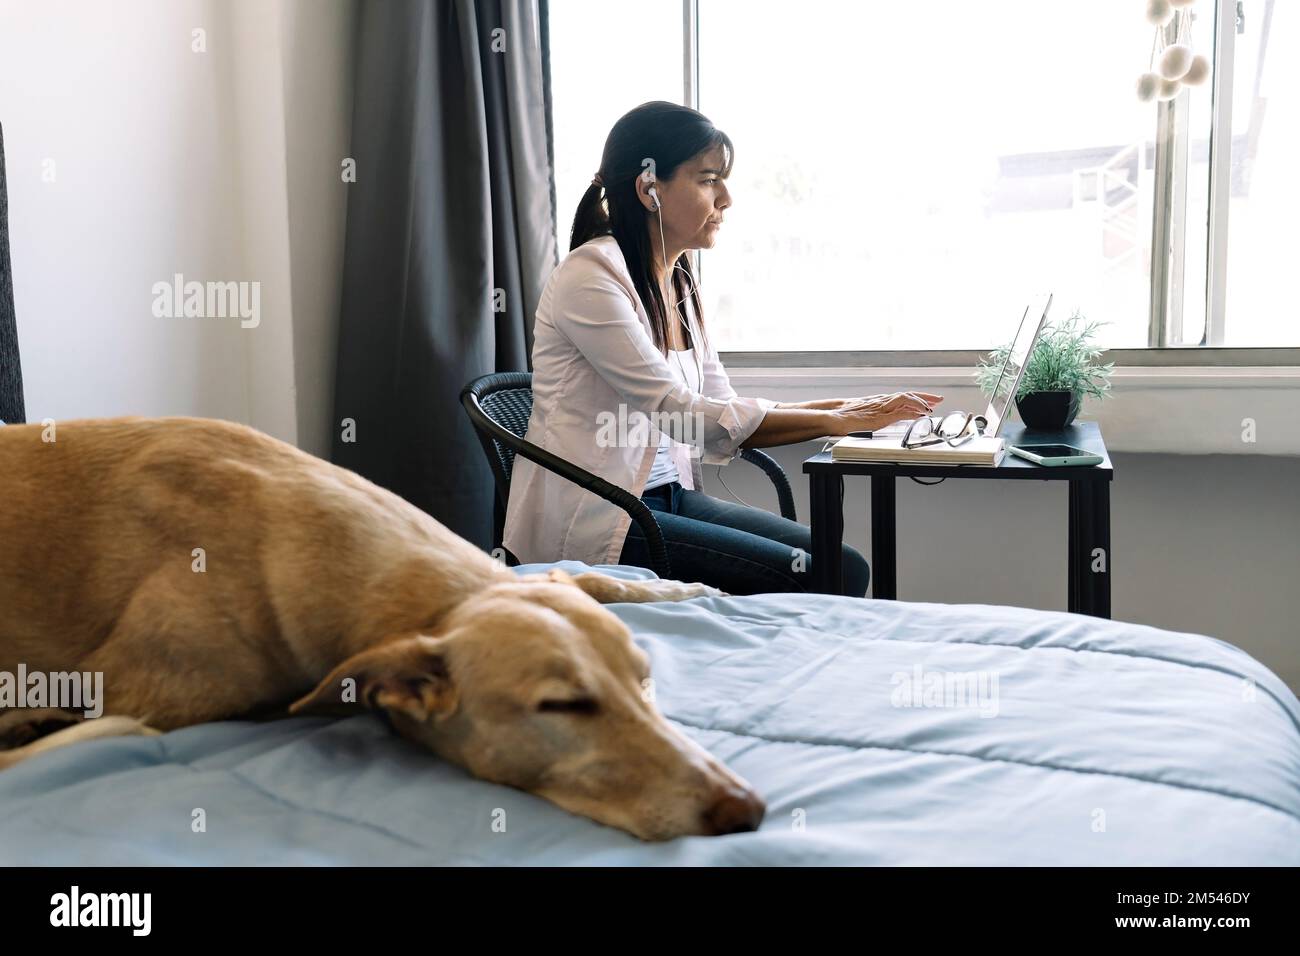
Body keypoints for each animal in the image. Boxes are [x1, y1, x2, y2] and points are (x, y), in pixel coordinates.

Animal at [0, 416, 759, 837]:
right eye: (563, 705)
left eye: (646, 681)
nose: (745, 810)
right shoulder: (141, 692)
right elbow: (111, 721)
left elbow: (592, 580)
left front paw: (685, 587)